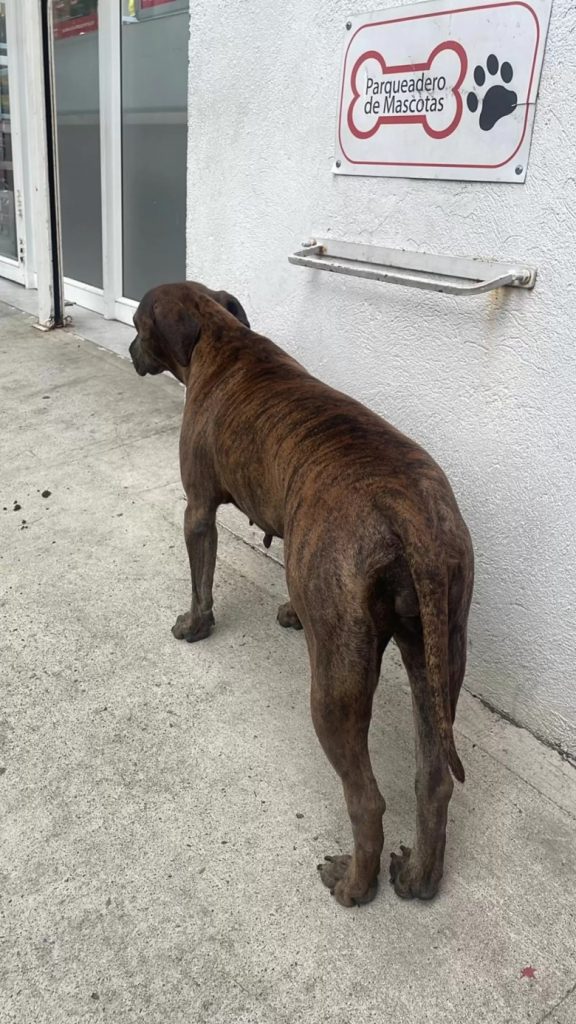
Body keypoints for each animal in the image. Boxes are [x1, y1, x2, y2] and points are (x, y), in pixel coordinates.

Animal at [130, 278, 471, 905]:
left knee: (367, 801)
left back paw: (354, 883)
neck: (219, 336)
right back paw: (418, 877)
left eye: (140, 324)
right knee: (434, 781)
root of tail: (406, 516)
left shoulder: (197, 510)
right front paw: (290, 611)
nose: (129, 346)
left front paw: (195, 625)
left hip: (335, 691)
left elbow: (200, 578)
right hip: (436, 658)